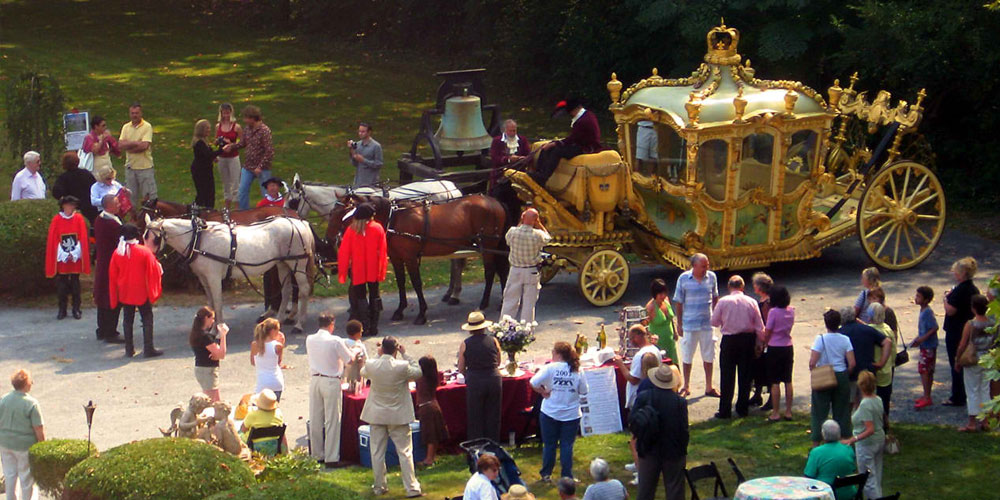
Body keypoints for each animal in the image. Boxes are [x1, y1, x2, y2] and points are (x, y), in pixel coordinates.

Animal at [145, 214, 314, 332]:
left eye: (154, 238)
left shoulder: (213, 278)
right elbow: (211, 304)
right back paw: (278, 321)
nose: (147, 255)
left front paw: (218, 331)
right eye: (143, 236)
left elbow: (218, 304)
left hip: (297, 264)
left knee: (304, 289)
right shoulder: (204, 278)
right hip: (282, 264)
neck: (199, 239)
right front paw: (211, 327)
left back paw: (299, 324)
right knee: (286, 290)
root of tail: (300, 223)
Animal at [282, 174, 468, 302]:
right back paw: (450, 292)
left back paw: (455, 294)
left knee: (456, 262)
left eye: (293, 202)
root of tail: (450, 186)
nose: (284, 218)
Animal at [330, 191, 508, 324]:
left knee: (491, 272)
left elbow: (416, 283)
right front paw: (400, 310)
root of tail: (496, 203)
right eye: (332, 213)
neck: (393, 218)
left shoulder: (409, 257)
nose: (331, 240)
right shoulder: (396, 258)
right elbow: (401, 282)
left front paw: (422, 313)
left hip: (489, 245)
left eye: (341, 213)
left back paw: (484, 302)